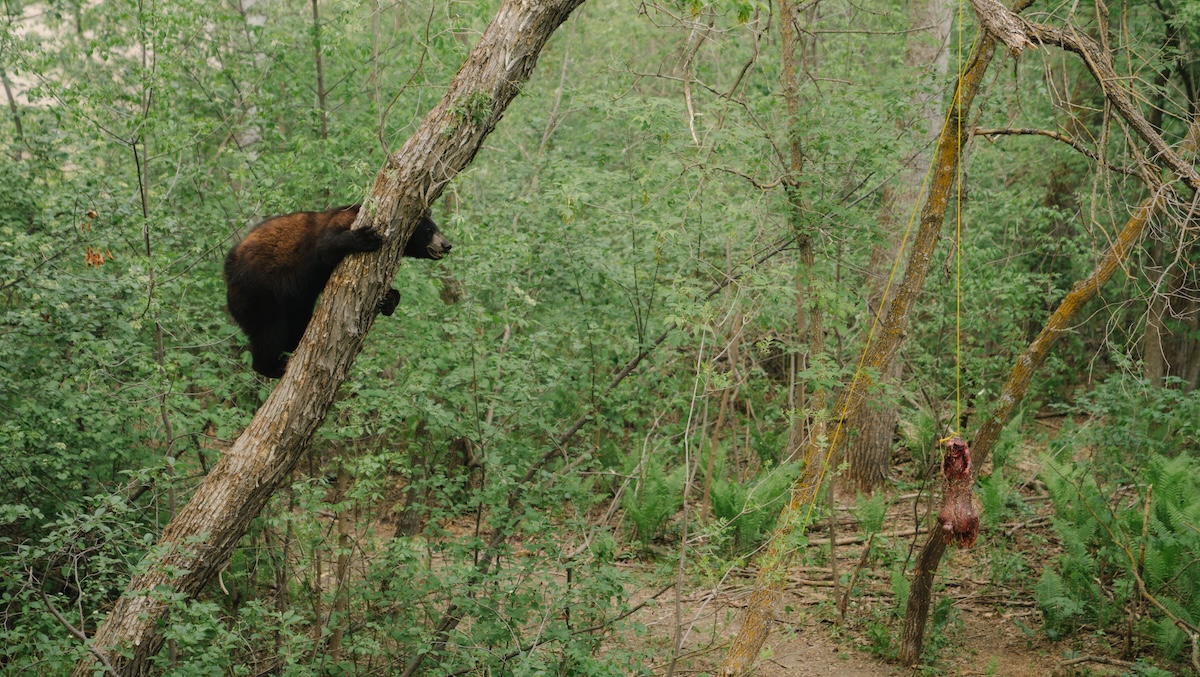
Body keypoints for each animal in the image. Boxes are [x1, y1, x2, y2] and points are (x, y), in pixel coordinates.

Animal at [224, 204, 451, 378]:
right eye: (430, 230)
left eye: (436, 228)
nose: (447, 244)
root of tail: (229, 270)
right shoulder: (340, 223)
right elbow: (324, 249)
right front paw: (362, 238)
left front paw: (389, 300)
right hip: (259, 293)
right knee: (270, 330)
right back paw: (273, 366)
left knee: (297, 319)